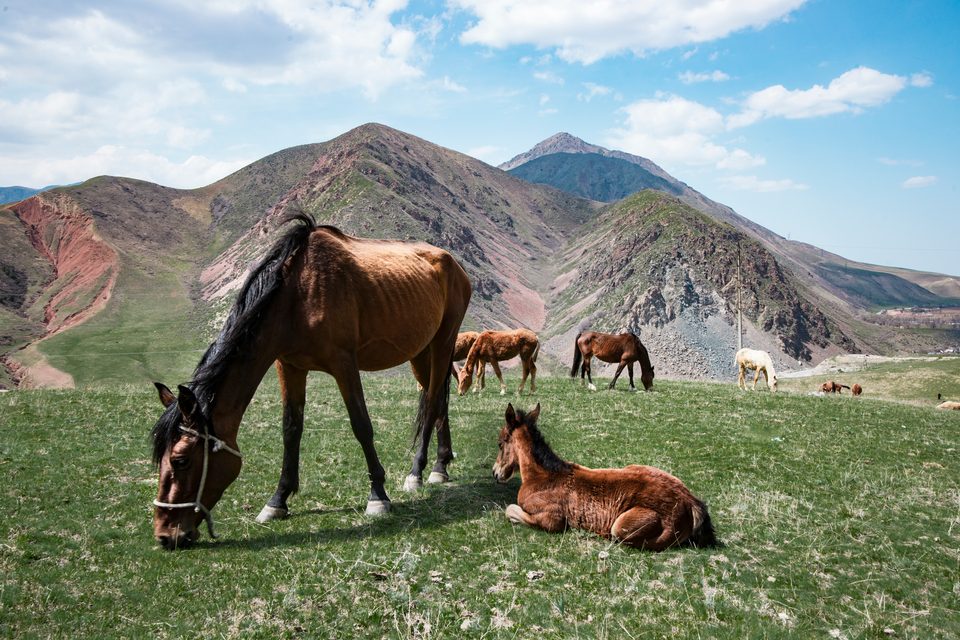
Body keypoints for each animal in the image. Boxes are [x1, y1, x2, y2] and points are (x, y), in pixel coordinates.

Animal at [150, 214, 471, 549]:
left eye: (181, 460)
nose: (165, 535)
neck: (296, 296)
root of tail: (453, 263)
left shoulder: (344, 364)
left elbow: (361, 426)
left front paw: (378, 496)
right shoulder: (288, 366)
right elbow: (291, 429)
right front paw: (278, 501)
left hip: (443, 342)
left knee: (433, 402)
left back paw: (418, 472)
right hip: (420, 352)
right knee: (438, 402)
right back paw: (440, 466)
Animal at [493, 403, 718, 551]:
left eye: (500, 443)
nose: (496, 473)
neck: (543, 476)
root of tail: (691, 502)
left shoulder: (552, 519)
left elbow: (510, 510)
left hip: (622, 526)